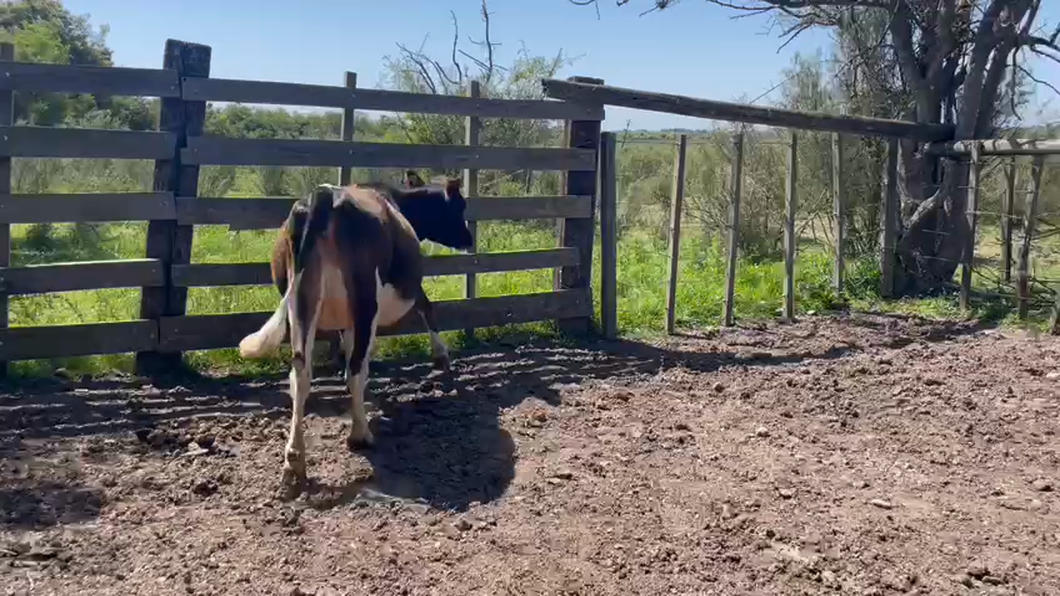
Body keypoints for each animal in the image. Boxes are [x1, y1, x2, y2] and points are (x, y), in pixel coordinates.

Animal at [240, 171, 476, 496]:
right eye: (459, 206)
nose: (469, 238)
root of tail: (324, 197)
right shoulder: (404, 292)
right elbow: (426, 307)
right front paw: (441, 357)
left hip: (301, 301)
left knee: (300, 372)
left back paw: (294, 462)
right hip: (365, 300)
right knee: (355, 366)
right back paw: (360, 434)